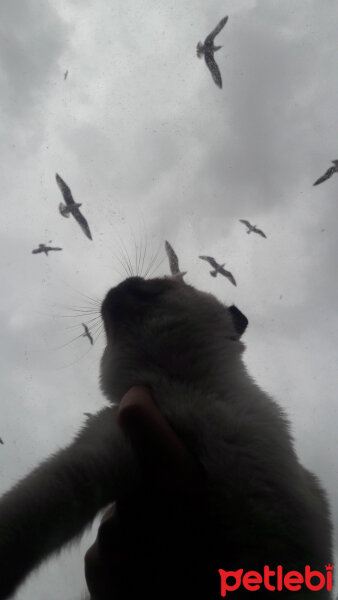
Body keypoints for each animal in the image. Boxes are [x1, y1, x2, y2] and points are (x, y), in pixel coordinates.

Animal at [0, 278, 332, 596]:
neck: (179, 389)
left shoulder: (276, 531)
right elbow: (26, 514)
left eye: (160, 282)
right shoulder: (98, 455)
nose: (118, 286)